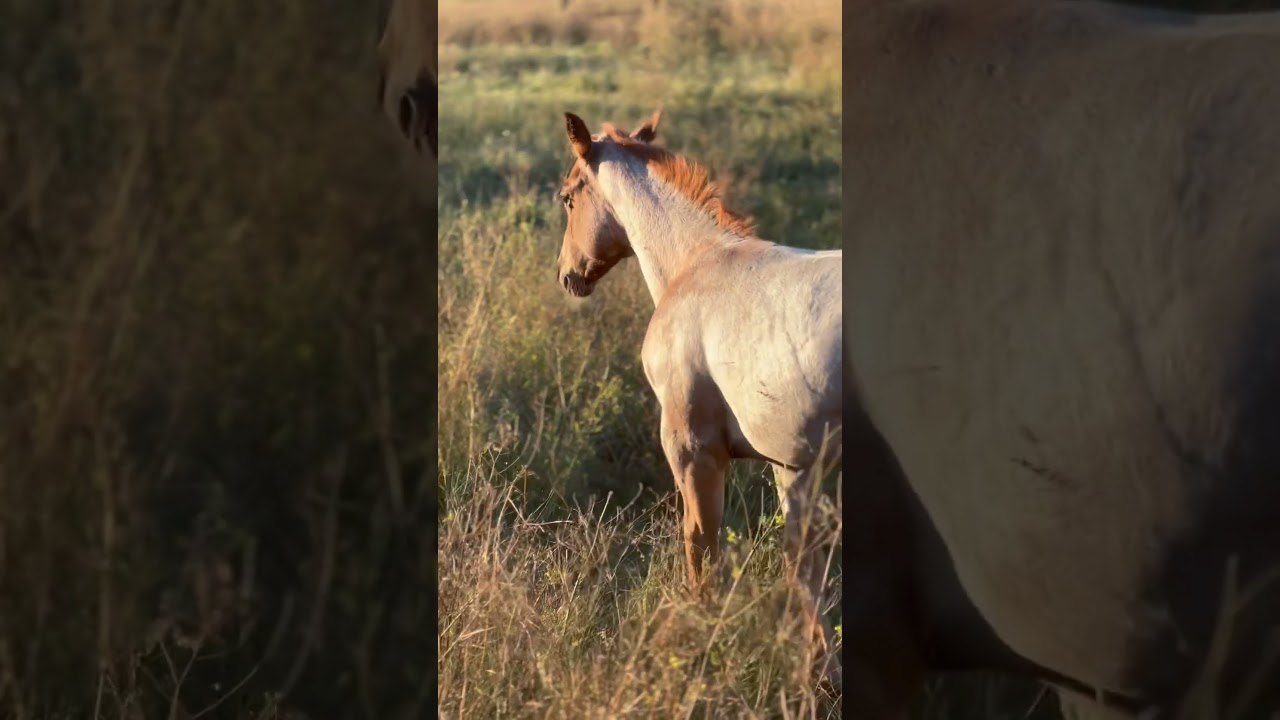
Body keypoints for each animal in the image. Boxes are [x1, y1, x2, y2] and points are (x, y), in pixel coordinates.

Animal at [554, 110, 844, 687]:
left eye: (569, 198)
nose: (566, 273)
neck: (697, 264)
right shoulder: (793, 463)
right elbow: (805, 565)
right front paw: (820, 670)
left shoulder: (692, 447)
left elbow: (700, 543)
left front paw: (700, 638)